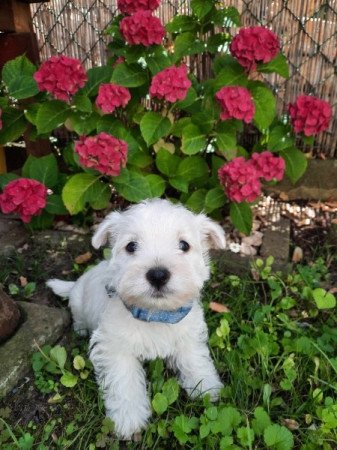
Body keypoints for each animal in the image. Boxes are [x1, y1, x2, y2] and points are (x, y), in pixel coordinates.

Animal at [47, 199, 224, 438]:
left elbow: (194, 359)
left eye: (184, 245)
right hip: (78, 303)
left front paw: (205, 386)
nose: (158, 275)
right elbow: (125, 383)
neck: (155, 314)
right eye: (131, 246)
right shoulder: (115, 349)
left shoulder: (188, 334)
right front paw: (129, 419)